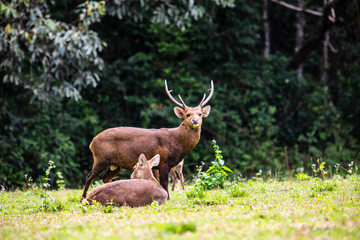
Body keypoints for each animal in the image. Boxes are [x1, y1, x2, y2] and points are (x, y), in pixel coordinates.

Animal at [81, 80, 214, 199]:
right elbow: (164, 183)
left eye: (200, 114)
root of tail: (92, 143)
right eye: (187, 115)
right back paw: (82, 198)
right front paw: (168, 199)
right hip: (101, 158)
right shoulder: (163, 161)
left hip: (115, 164)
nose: (195, 121)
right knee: (89, 177)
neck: (177, 141)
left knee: (105, 178)